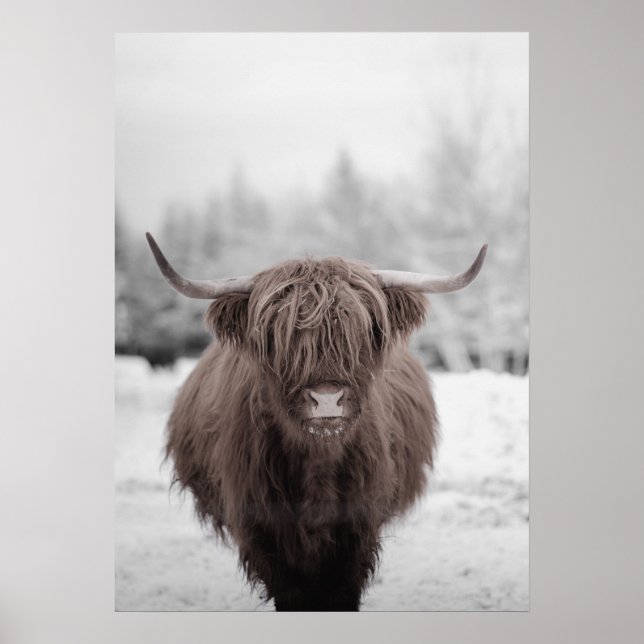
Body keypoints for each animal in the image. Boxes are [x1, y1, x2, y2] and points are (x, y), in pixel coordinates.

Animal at [146, 233, 487, 611]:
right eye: (278, 336)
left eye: (362, 333)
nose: (326, 399)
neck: (316, 465)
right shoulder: (262, 530)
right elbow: (292, 594)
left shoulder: (356, 529)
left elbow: (340, 592)